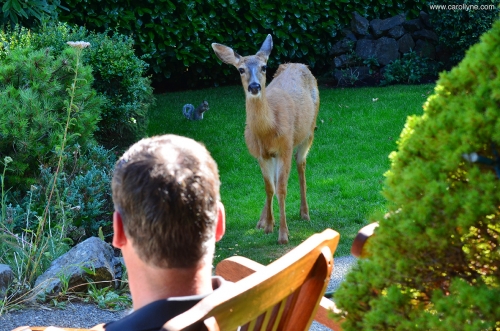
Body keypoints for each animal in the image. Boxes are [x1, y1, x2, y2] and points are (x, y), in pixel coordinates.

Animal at [212, 35, 320, 245]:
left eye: (264, 67)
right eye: (241, 69)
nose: (254, 87)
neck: (269, 130)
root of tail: (298, 63)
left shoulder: (285, 147)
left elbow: (282, 189)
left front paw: (284, 235)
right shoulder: (261, 155)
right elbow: (270, 188)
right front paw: (269, 226)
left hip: (309, 131)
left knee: (301, 164)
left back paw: (305, 213)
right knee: (276, 181)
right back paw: (261, 222)